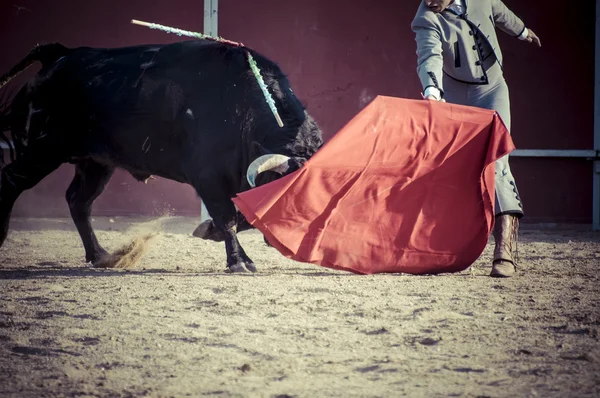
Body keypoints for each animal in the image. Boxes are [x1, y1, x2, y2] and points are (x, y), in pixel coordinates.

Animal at [0, 41, 324, 274]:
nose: (295, 242)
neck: (242, 109)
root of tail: (60, 56)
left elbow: (240, 217)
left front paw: (211, 233)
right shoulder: (208, 177)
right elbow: (228, 218)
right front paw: (239, 262)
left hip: (96, 162)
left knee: (78, 201)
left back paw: (100, 255)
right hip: (44, 150)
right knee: (11, 181)